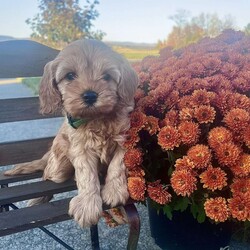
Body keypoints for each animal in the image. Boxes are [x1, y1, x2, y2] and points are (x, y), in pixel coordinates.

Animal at [4, 39, 138, 227]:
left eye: (106, 76)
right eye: (70, 76)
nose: (90, 95)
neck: (96, 118)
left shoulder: (125, 139)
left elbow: (117, 166)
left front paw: (114, 191)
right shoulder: (80, 148)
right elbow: (86, 175)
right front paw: (88, 204)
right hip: (58, 166)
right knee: (47, 175)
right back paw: (40, 198)